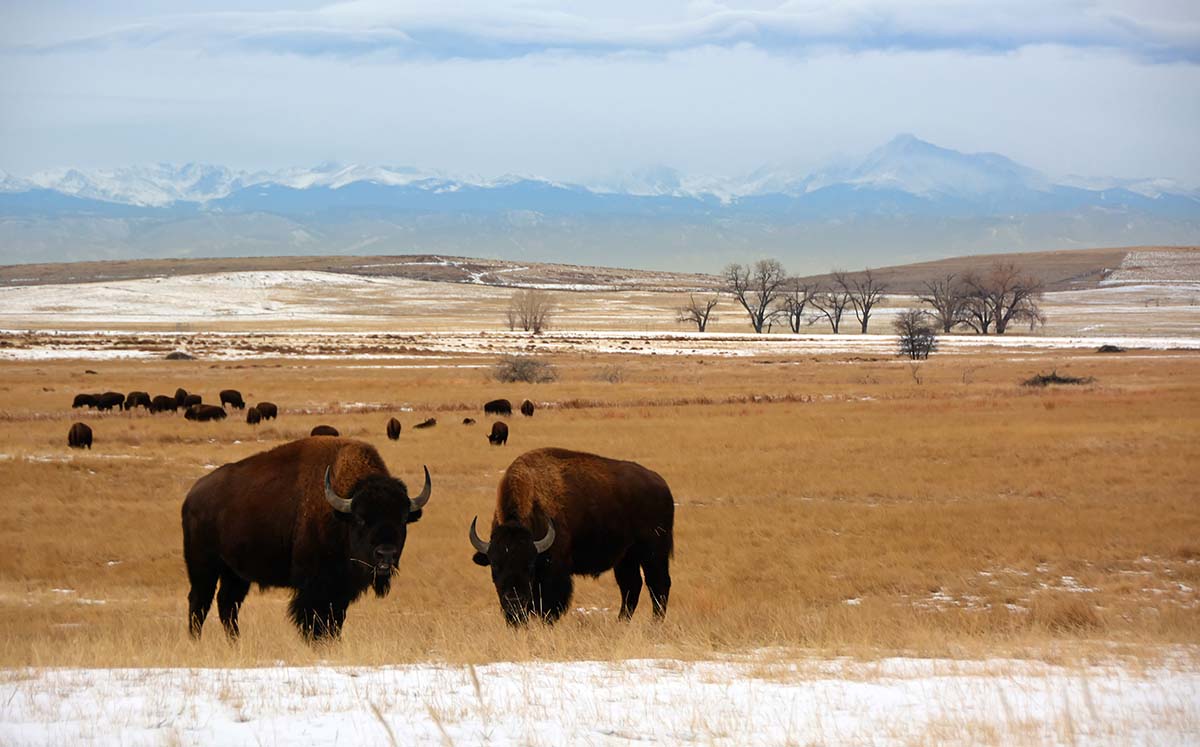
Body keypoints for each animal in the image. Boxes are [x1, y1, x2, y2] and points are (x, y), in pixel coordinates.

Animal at [181, 439, 432, 643]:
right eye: (361, 518)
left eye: (402, 519)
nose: (386, 554)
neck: (340, 515)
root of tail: (192, 495)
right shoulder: (315, 587)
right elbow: (314, 619)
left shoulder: (341, 589)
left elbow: (335, 620)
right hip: (203, 567)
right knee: (200, 602)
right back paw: (196, 642)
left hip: (235, 573)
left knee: (227, 604)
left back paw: (235, 643)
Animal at [468, 451, 676, 624]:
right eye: (495, 565)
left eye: (529, 565)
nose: (514, 601)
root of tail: (662, 484)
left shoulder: (554, 572)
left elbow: (549, 605)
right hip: (626, 557)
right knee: (631, 586)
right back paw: (621, 622)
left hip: (654, 553)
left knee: (658, 584)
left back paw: (654, 624)